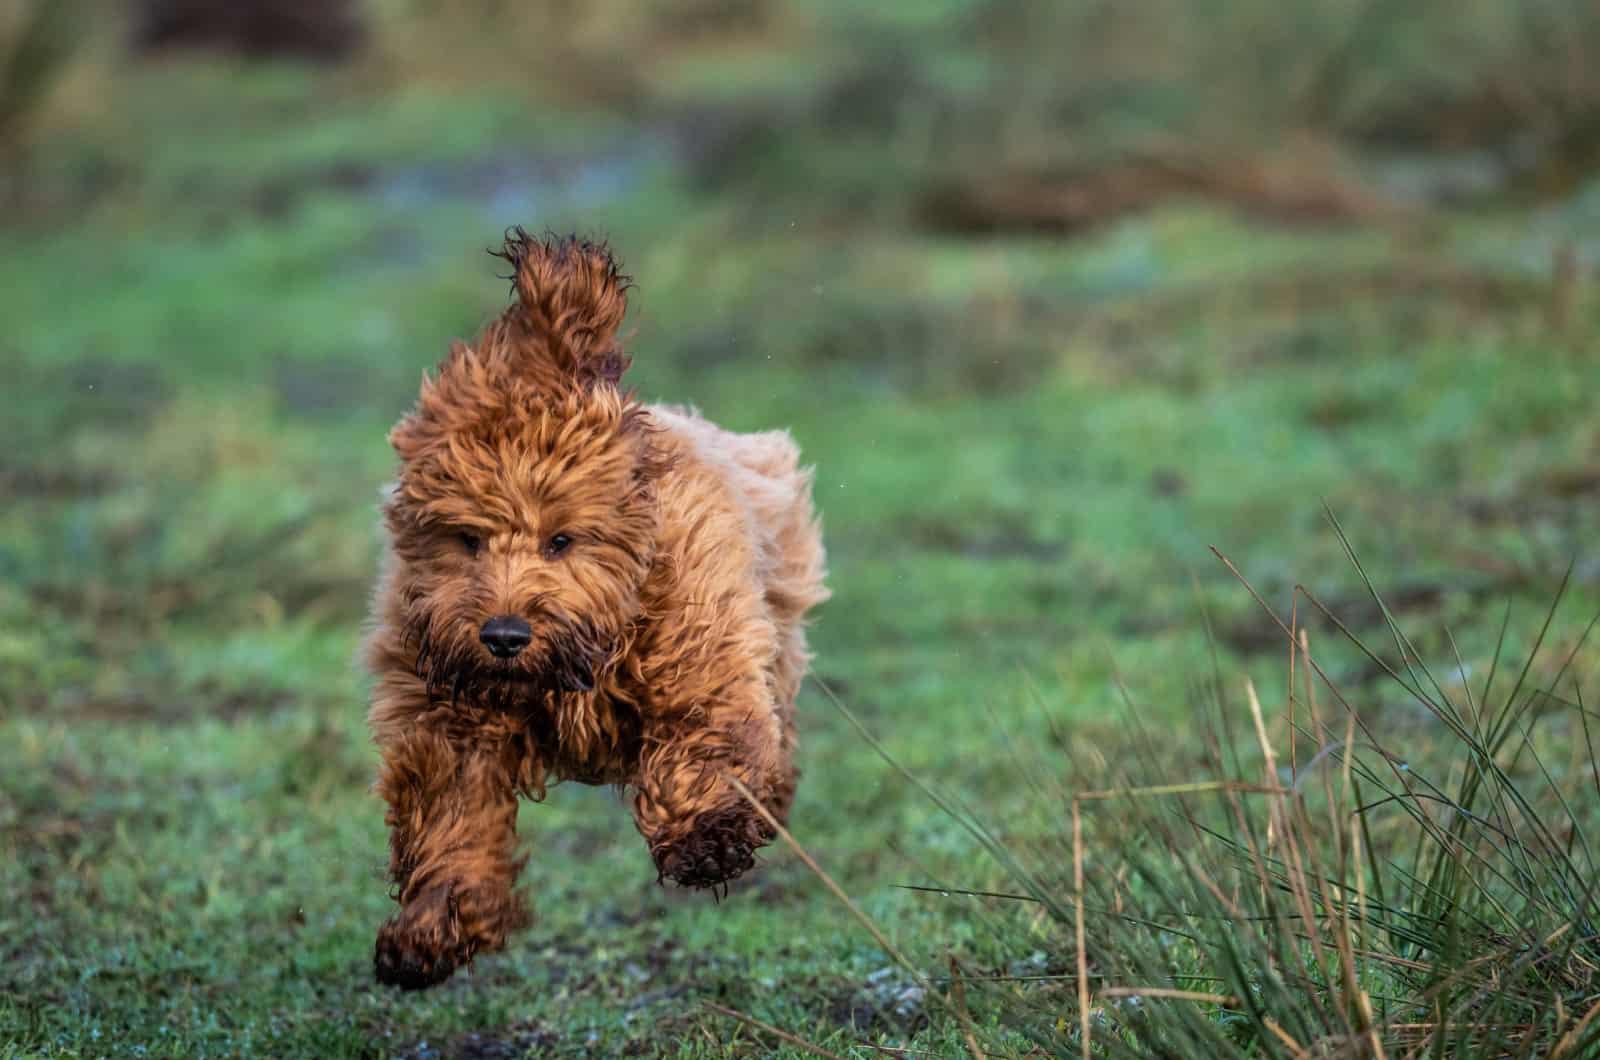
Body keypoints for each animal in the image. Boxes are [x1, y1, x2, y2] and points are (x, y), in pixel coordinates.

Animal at [361, 228, 825, 992]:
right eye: (466, 538)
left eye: (561, 538)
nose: (504, 635)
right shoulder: (445, 712)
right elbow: (451, 814)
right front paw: (430, 929)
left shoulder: (698, 639)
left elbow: (705, 734)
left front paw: (704, 840)